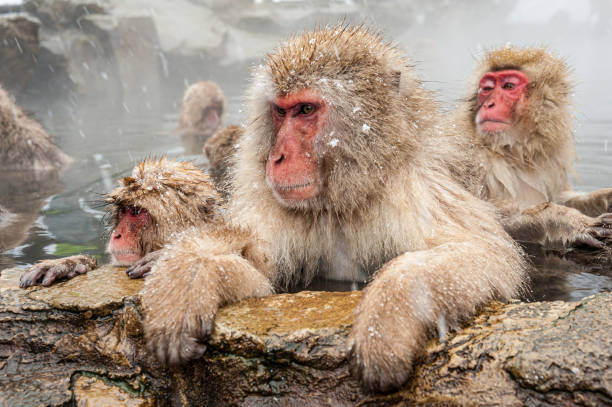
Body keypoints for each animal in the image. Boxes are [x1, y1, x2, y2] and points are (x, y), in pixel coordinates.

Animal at [141, 24, 528, 392]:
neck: (342, 202)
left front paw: (386, 319)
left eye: (305, 110)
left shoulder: (418, 190)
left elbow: (484, 253)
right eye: (280, 111)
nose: (277, 157)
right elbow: (259, 273)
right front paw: (189, 275)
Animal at [450, 47, 612, 250]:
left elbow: (560, 197)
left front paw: (606, 197)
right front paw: (570, 222)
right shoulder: (463, 156)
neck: (514, 153)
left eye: (508, 86)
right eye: (487, 89)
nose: (488, 104)